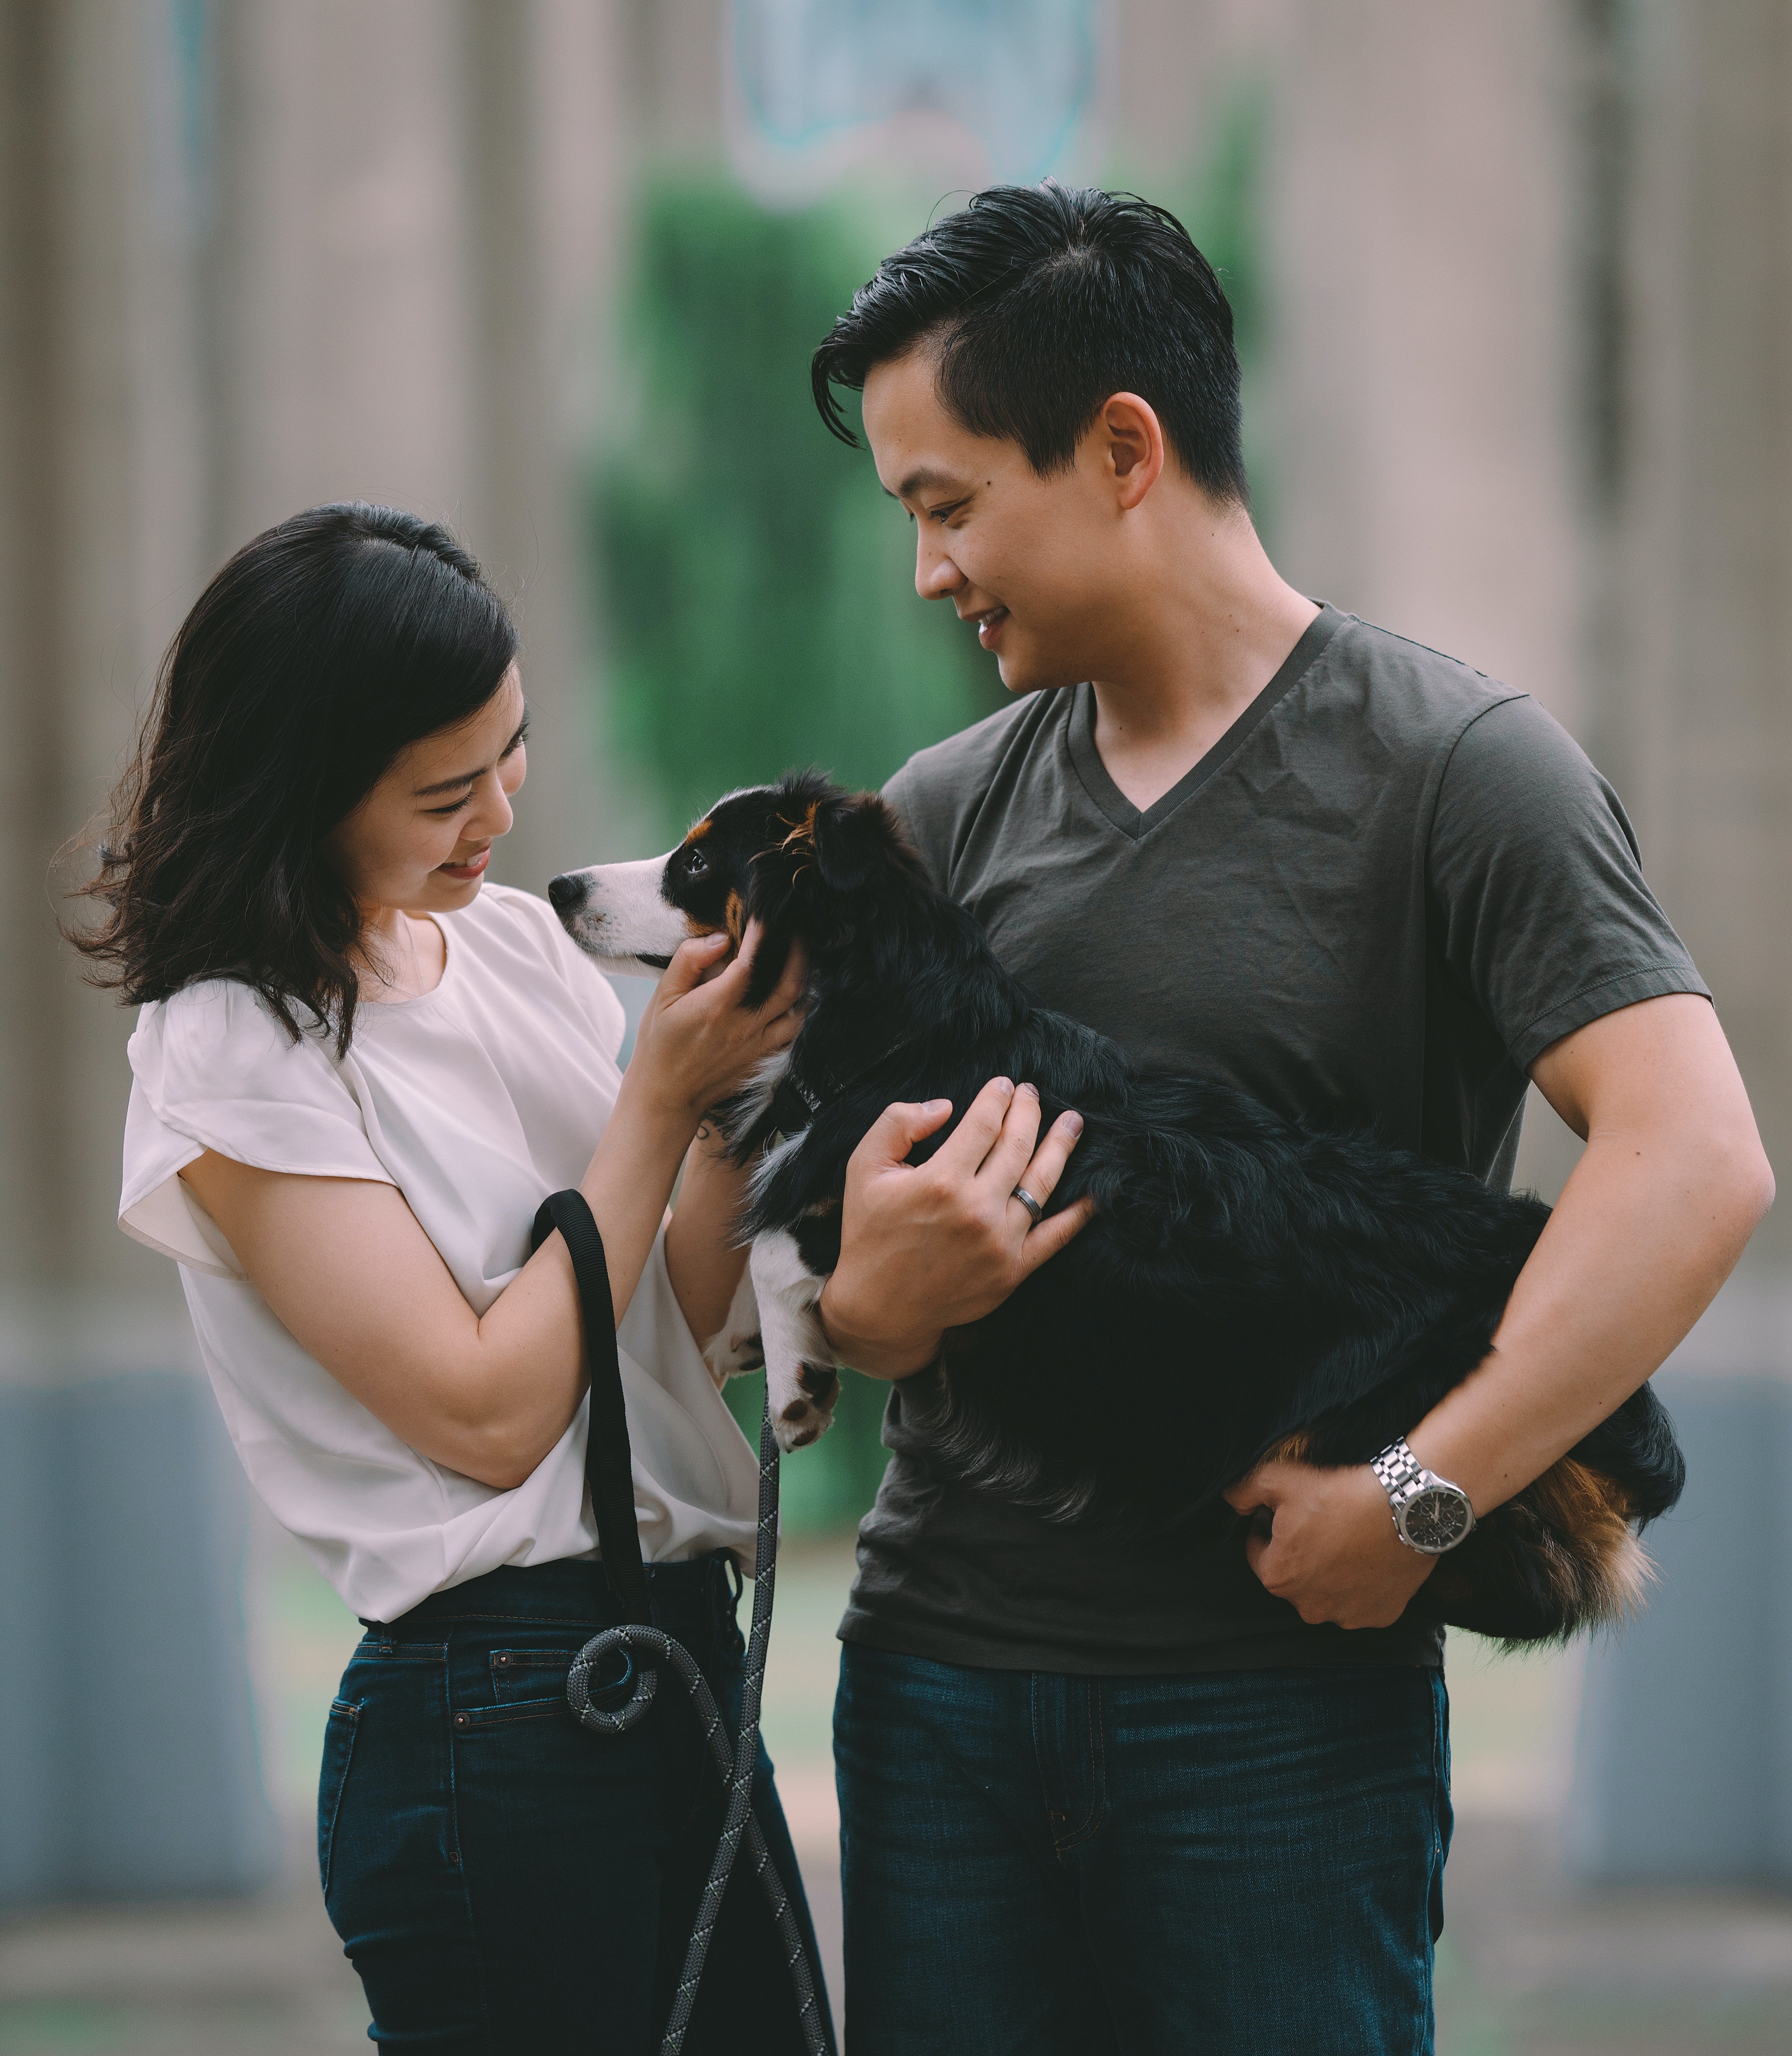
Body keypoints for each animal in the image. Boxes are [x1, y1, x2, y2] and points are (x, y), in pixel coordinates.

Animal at [555, 765, 1685, 1644]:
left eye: (697, 867)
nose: (561, 882)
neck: (896, 1028)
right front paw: (745, 1341)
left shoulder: (879, 1166)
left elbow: (778, 1241)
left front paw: (795, 1380)